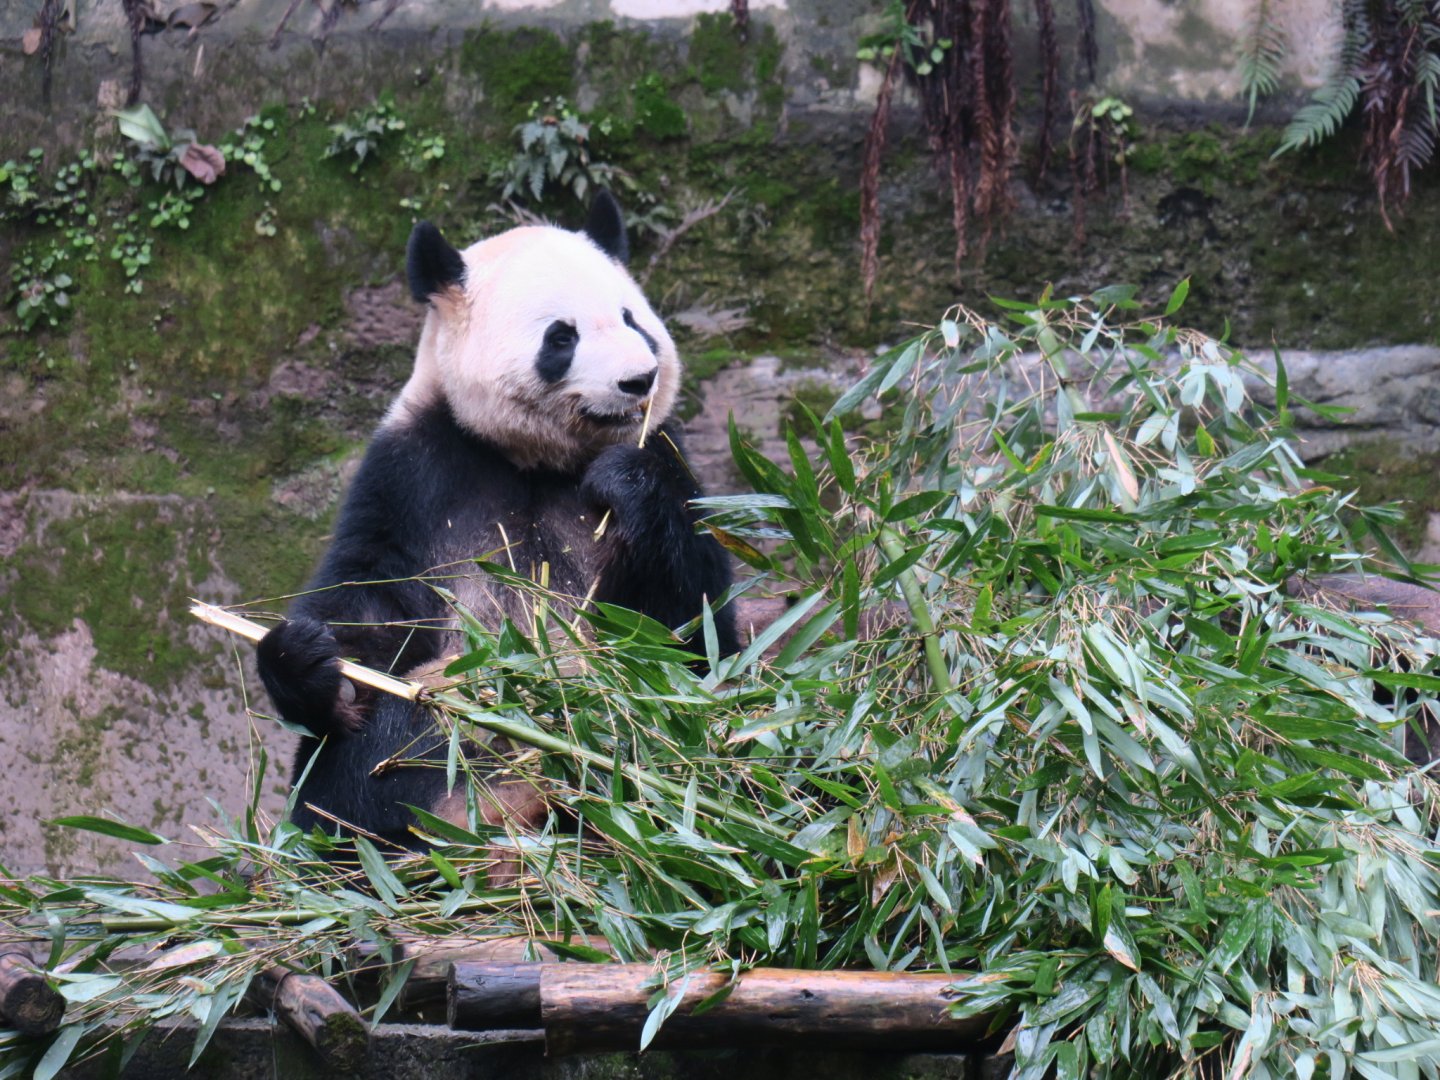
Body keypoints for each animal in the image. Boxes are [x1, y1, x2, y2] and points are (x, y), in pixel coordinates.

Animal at [256, 192, 739, 862]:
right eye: (562, 336)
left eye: (632, 319)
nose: (638, 379)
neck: (535, 459)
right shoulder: (415, 475)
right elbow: (370, 605)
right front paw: (308, 659)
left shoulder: (668, 451)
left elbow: (689, 632)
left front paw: (623, 480)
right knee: (366, 769)